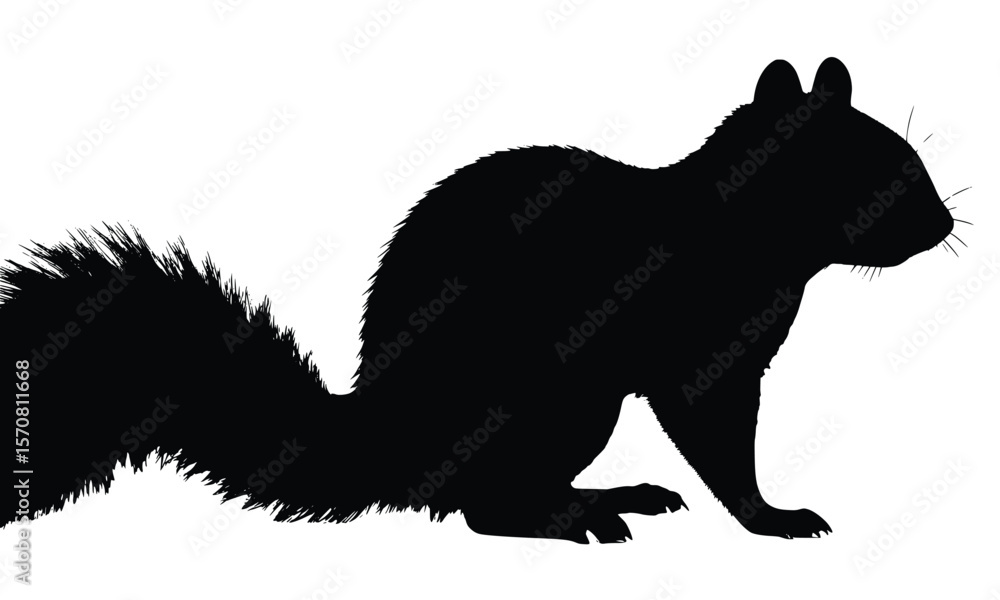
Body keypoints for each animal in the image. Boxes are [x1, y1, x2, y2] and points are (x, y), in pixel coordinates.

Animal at [2, 58, 956, 543]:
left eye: (912, 155)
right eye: (871, 168)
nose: (945, 223)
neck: (737, 225)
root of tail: (393, 435)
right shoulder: (702, 357)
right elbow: (718, 441)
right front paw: (773, 518)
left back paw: (611, 497)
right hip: (559, 401)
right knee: (480, 509)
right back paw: (576, 517)